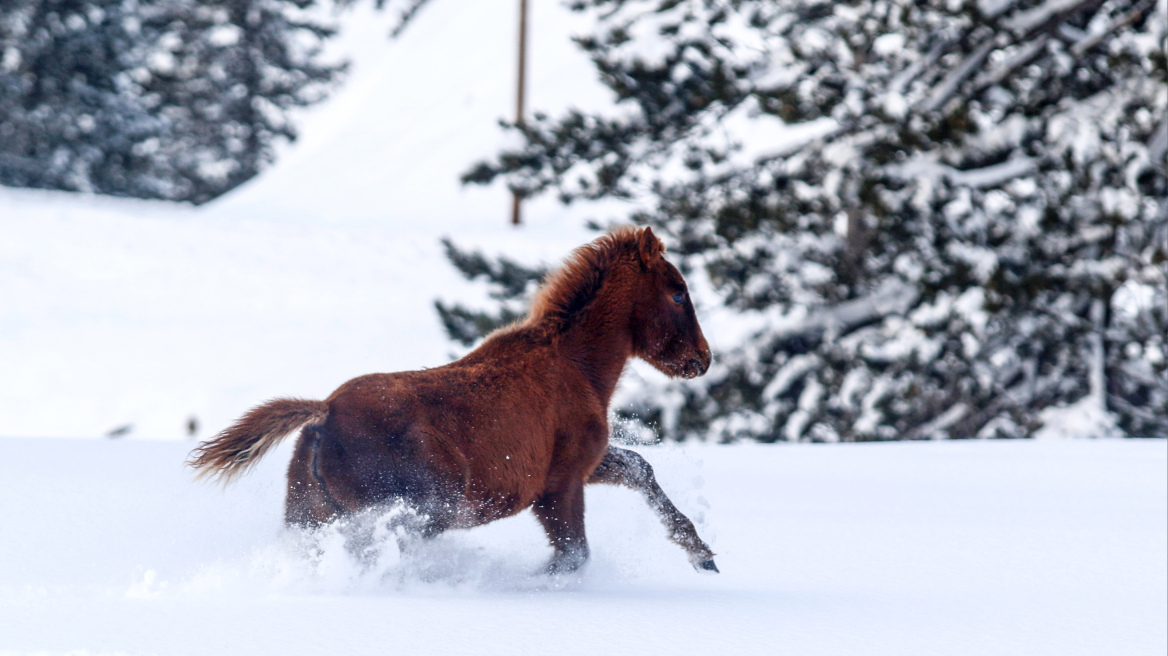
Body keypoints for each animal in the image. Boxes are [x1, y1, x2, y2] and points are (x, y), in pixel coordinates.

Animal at [188, 226, 714, 571]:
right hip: (423, 510)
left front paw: (701, 553)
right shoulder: (559, 485)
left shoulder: (585, 466)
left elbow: (639, 468)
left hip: (313, 516)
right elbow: (573, 555)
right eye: (678, 293)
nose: (702, 359)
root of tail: (323, 415)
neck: (576, 366)